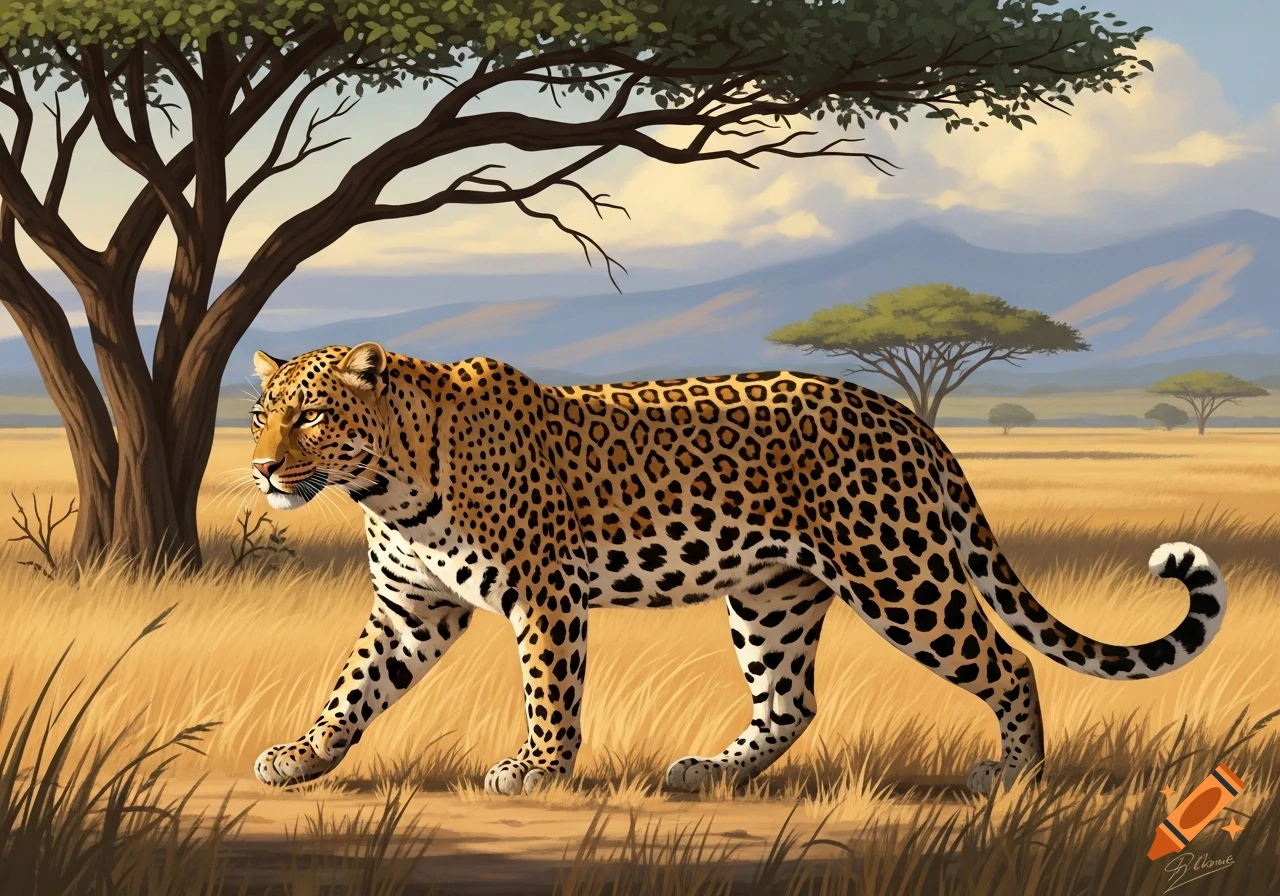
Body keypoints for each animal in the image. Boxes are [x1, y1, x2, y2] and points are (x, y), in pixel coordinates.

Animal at [248, 343, 1227, 796]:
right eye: (261, 414)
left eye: (312, 417)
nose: (257, 468)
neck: (390, 483)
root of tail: (906, 416)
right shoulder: (411, 606)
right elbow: (352, 686)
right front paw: (302, 757)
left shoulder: (545, 594)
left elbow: (548, 690)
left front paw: (538, 769)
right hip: (771, 598)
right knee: (791, 701)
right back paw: (711, 773)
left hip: (899, 575)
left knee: (1008, 661)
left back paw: (1014, 775)